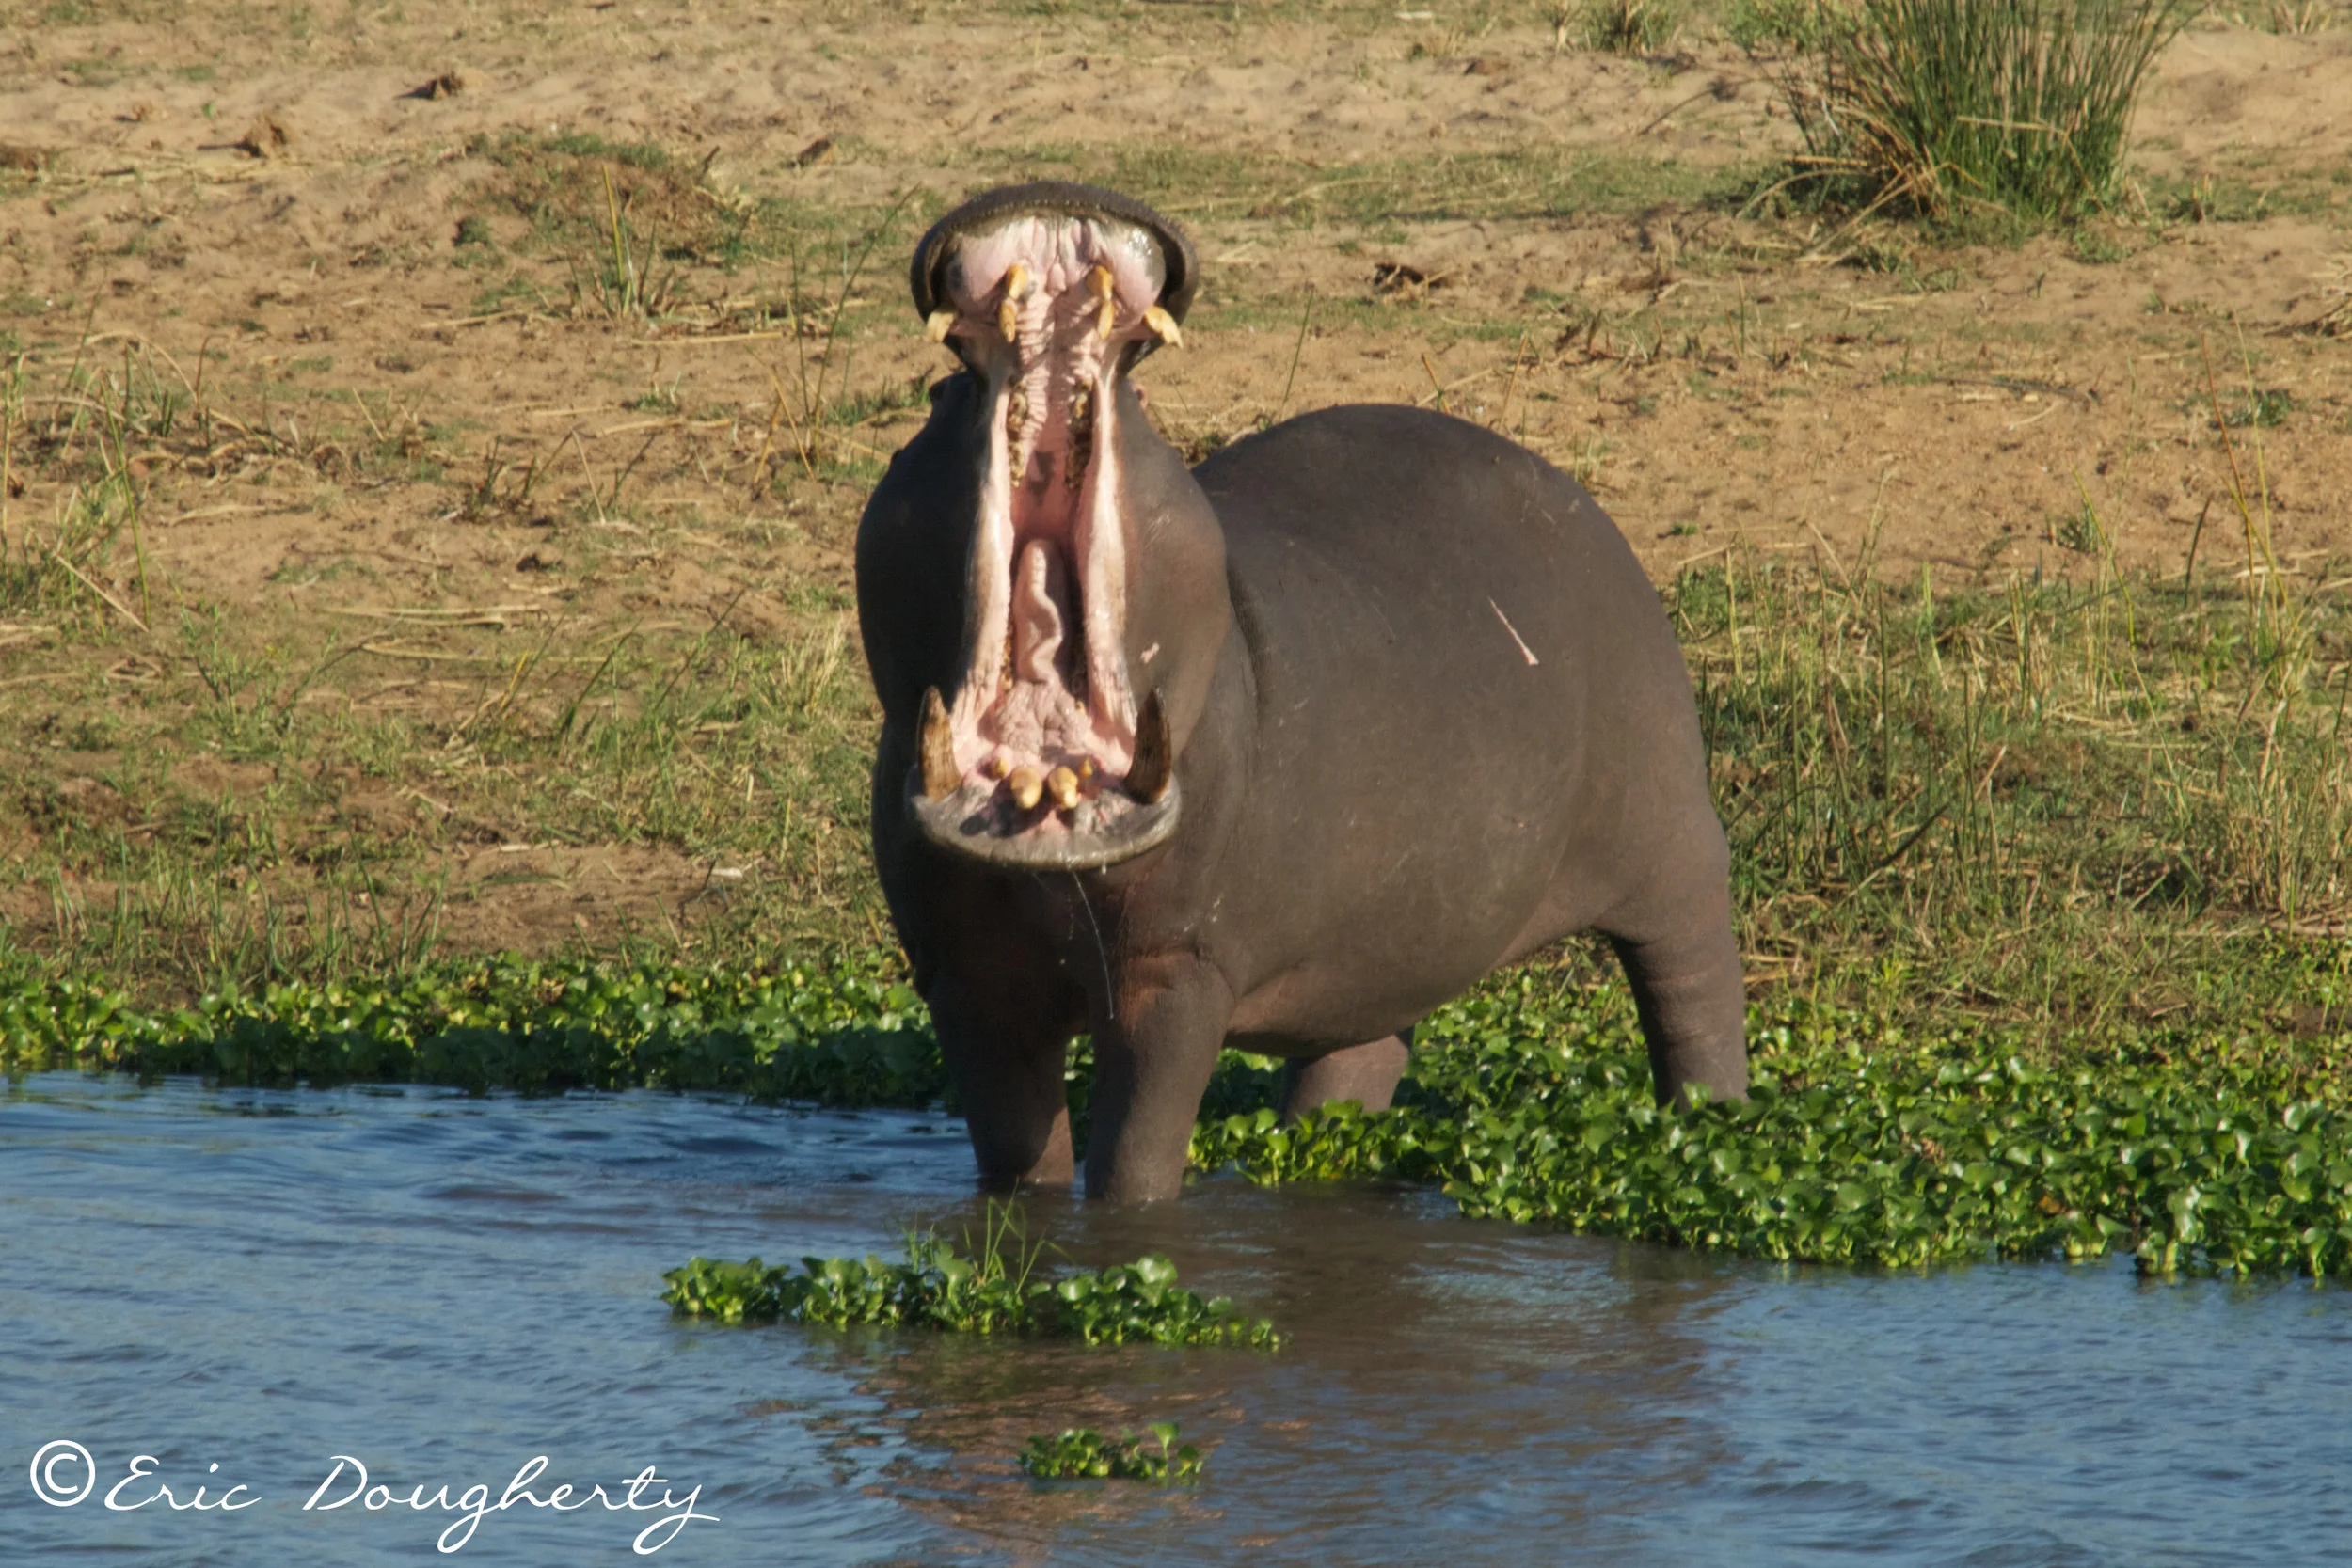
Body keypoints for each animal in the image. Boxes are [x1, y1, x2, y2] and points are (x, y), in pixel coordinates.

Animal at [855, 182, 1746, 1202]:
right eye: (937, 397)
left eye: (1147, 406)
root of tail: (1581, 501)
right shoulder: (964, 977)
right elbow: (1015, 1157)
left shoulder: (1179, 970)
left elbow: (1135, 1155)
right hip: (1388, 939)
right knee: (1354, 1064)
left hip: (1671, 844)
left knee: (1694, 992)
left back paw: (1710, 1129)